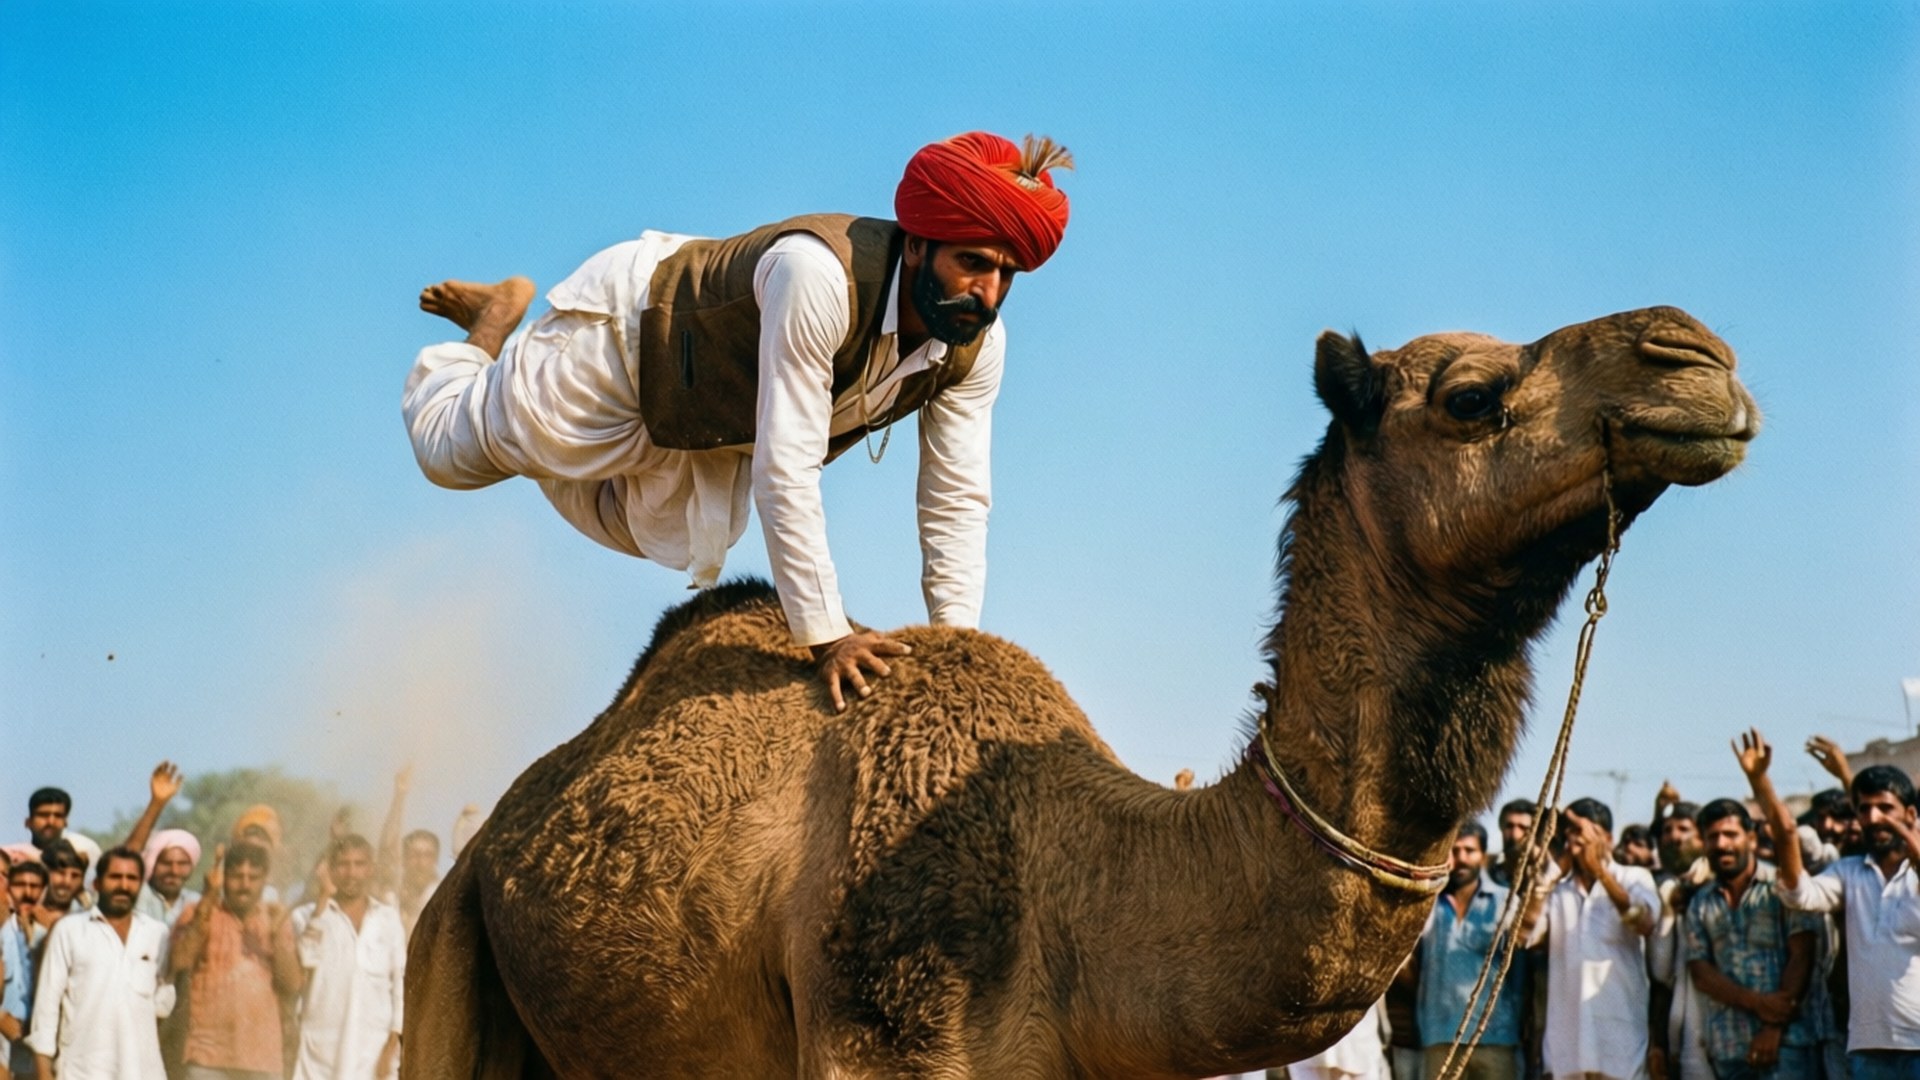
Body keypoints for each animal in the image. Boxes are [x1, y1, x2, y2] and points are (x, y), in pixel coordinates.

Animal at [404, 305, 1757, 1079]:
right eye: (1471, 398)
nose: (1698, 356)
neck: (1078, 887)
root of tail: (497, 837)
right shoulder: (880, 1033)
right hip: (446, 953)